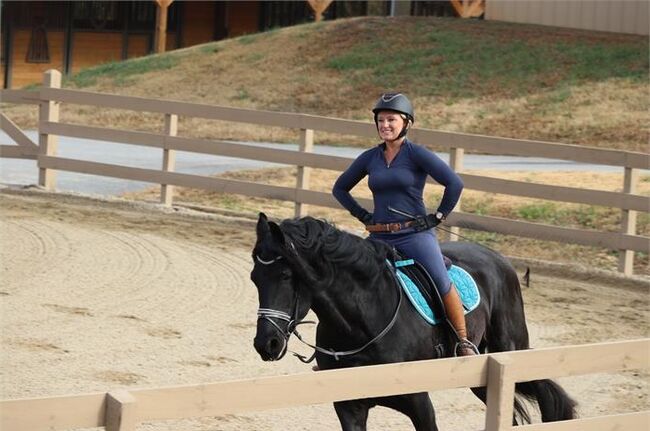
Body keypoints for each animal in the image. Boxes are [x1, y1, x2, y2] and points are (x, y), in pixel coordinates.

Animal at [251, 214, 576, 430]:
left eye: (286, 276)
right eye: (255, 278)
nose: (267, 344)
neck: (361, 323)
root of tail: (500, 259)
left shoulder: (419, 402)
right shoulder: (349, 406)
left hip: (509, 349)